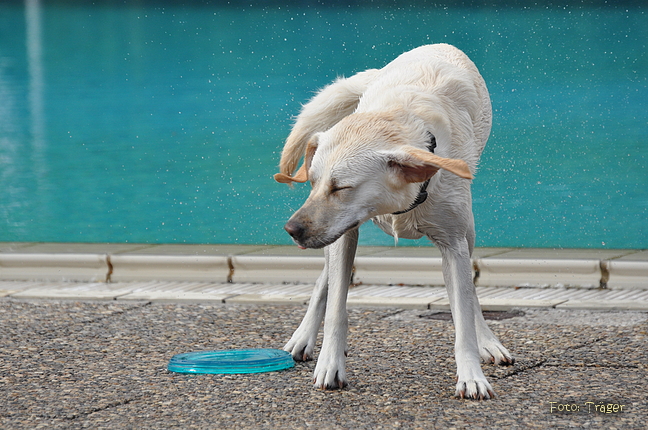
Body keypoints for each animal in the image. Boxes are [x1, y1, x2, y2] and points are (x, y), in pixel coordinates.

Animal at [274, 43, 512, 400]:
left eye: (341, 187)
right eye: (313, 182)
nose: (292, 230)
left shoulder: (454, 245)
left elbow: (463, 316)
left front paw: (471, 376)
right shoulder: (344, 237)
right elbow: (336, 309)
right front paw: (331, 364)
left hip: (467, 232)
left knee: (470, 296)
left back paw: (487, 340)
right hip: (334, 235)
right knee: (323, 283)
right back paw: (303, 337)